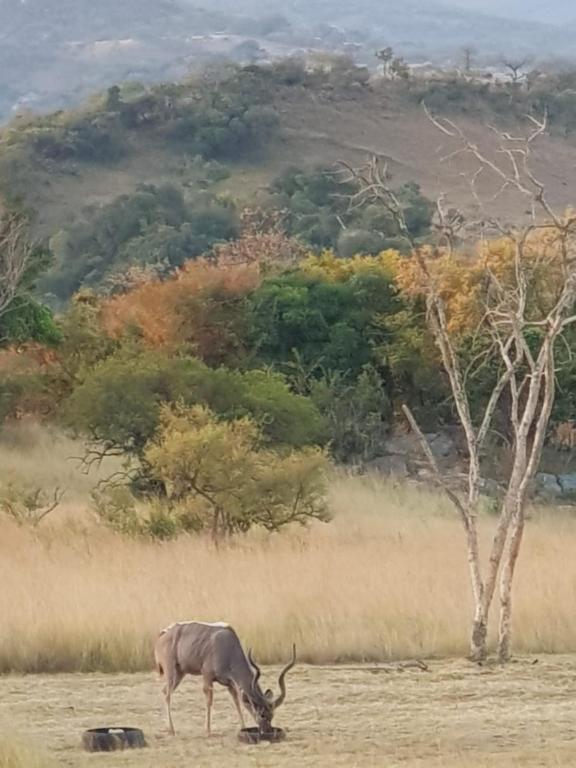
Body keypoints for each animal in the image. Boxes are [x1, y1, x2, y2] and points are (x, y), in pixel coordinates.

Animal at [154, 621, 296, 736]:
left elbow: (237, 701)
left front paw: (243, 726)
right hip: (171, 671)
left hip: (180, 674)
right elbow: (209, 701)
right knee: (167, 694)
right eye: (262, 715)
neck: (228, 648)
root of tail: (162, 634)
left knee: (164, 691)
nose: (267, 731)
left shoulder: (230, 684)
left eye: (272, 714)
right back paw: (172, 730)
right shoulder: (207, 676)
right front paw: (208, 731)